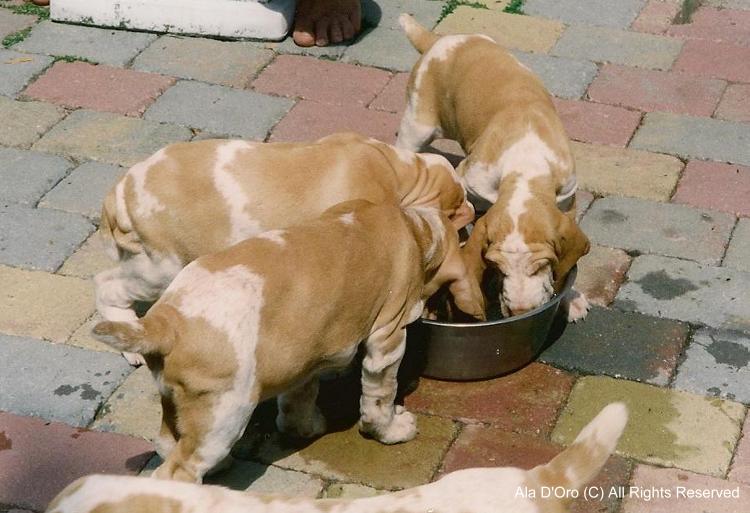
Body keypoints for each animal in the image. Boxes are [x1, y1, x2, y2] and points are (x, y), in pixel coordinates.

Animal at [89, 201, 488, 484]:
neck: (414, 226)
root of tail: (167, 321)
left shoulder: (305, 355)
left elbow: (299, 397)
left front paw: (305, 428)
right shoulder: (387, 338)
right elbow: (379, 399)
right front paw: (392, 430)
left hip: (177, 402)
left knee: (166, 443)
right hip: (224, 414)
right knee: (178, 472)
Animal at [400, 17, 592, 320]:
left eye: (540, 266)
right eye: (498, 268)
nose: (520, 310)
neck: (525, 166)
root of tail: (438, 41)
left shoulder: (566, 198)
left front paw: (570, 298)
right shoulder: (467, 180)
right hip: (417, 127)